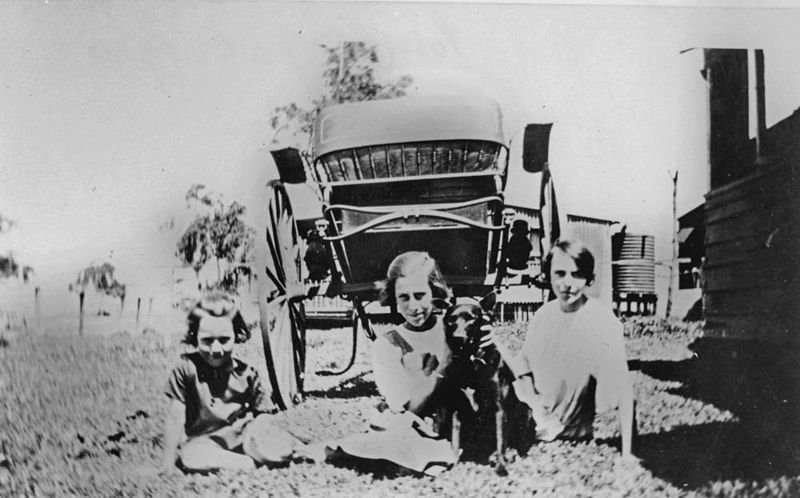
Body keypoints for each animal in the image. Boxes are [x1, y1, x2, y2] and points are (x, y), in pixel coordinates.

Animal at [444, 294, 512, 476]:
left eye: (472, 319)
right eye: (451, 320)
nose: (457, 337)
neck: (471, 362)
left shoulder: (498, 408)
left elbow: (500, 438)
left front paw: (501, 466)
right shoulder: (456, 408)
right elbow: (454, 440)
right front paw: (453, 465)